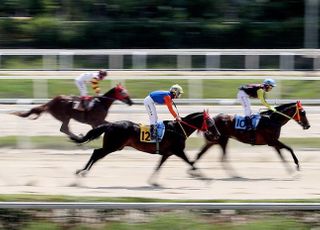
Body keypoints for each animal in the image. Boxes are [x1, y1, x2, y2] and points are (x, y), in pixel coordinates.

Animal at [69, 110, 220, 186]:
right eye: (210, 122)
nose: (218, 134)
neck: (178, 129)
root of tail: (110, 124)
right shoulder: (178, 151)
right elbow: (191, 162)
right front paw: (205, 178)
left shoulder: (167, 153)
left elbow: (159, 165)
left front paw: (152, 181)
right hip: (112, 145)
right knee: (96, 153)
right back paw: (81, 172)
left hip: (115, 146)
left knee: (96, 153)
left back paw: (82, 172)